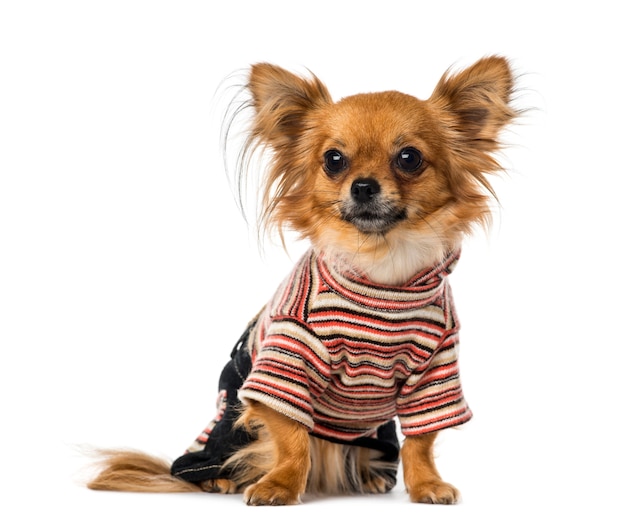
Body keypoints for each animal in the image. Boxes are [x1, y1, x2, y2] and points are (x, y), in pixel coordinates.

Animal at [89, 55, 516, 506]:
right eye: (334, 160)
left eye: (409, 157)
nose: (363, 186)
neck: (382, 276)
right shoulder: (283, 363)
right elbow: (291, 437)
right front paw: (279, 484)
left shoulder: (435, 374)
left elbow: (421, 440)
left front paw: (427, 484)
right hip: (226, 421)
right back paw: (219, 479)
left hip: (376, 433)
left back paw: (369, 475)